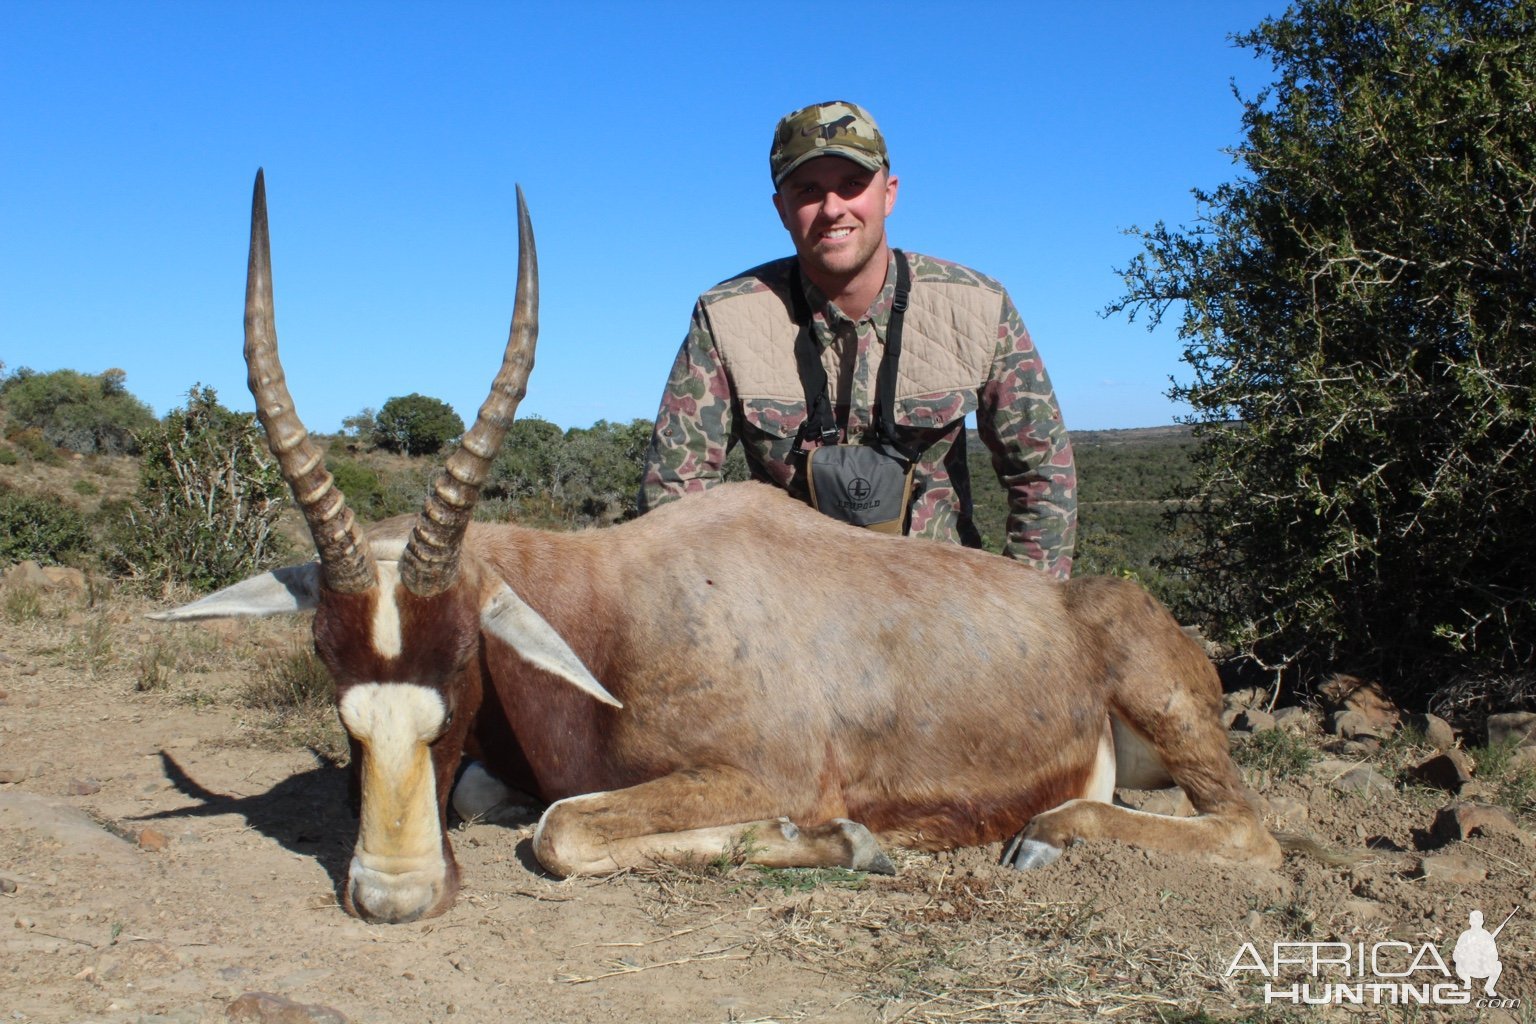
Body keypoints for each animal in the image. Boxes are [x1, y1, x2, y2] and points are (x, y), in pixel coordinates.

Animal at [155, 171, 1284, 927]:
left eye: (467, 655)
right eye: (327, 663)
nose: (394, 896)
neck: (613, 609)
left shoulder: (760, 774)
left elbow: (560, 828)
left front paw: (850, 842)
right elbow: (499, 798)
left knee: (1250, 830)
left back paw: (1045, 838)